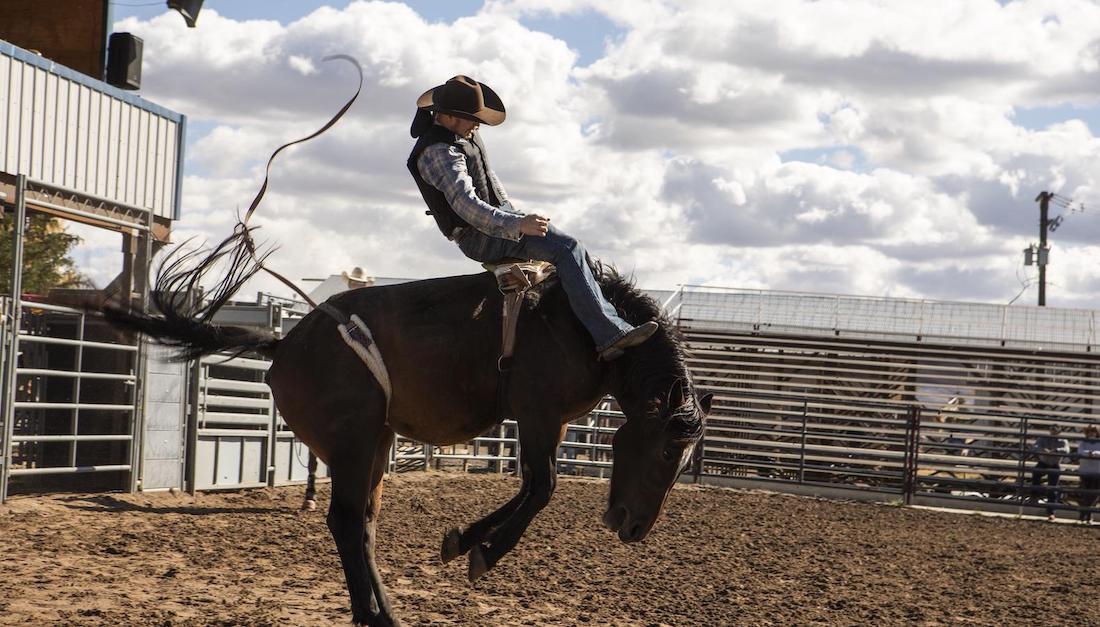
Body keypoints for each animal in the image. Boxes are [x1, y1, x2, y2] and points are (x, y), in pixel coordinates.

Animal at [105, 234, 712, 624]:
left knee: (363, 525)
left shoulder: (553, 422)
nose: (635, 529)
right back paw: (375, 617)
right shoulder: (537, 414)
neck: (587, 327)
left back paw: (382, 612)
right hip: (352, 443)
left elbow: (530, 489)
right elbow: (542, 488)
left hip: (376, 441)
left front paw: (462, 541)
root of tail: (283, 344)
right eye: (667, 453)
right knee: (347, 520)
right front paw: (479, 551)